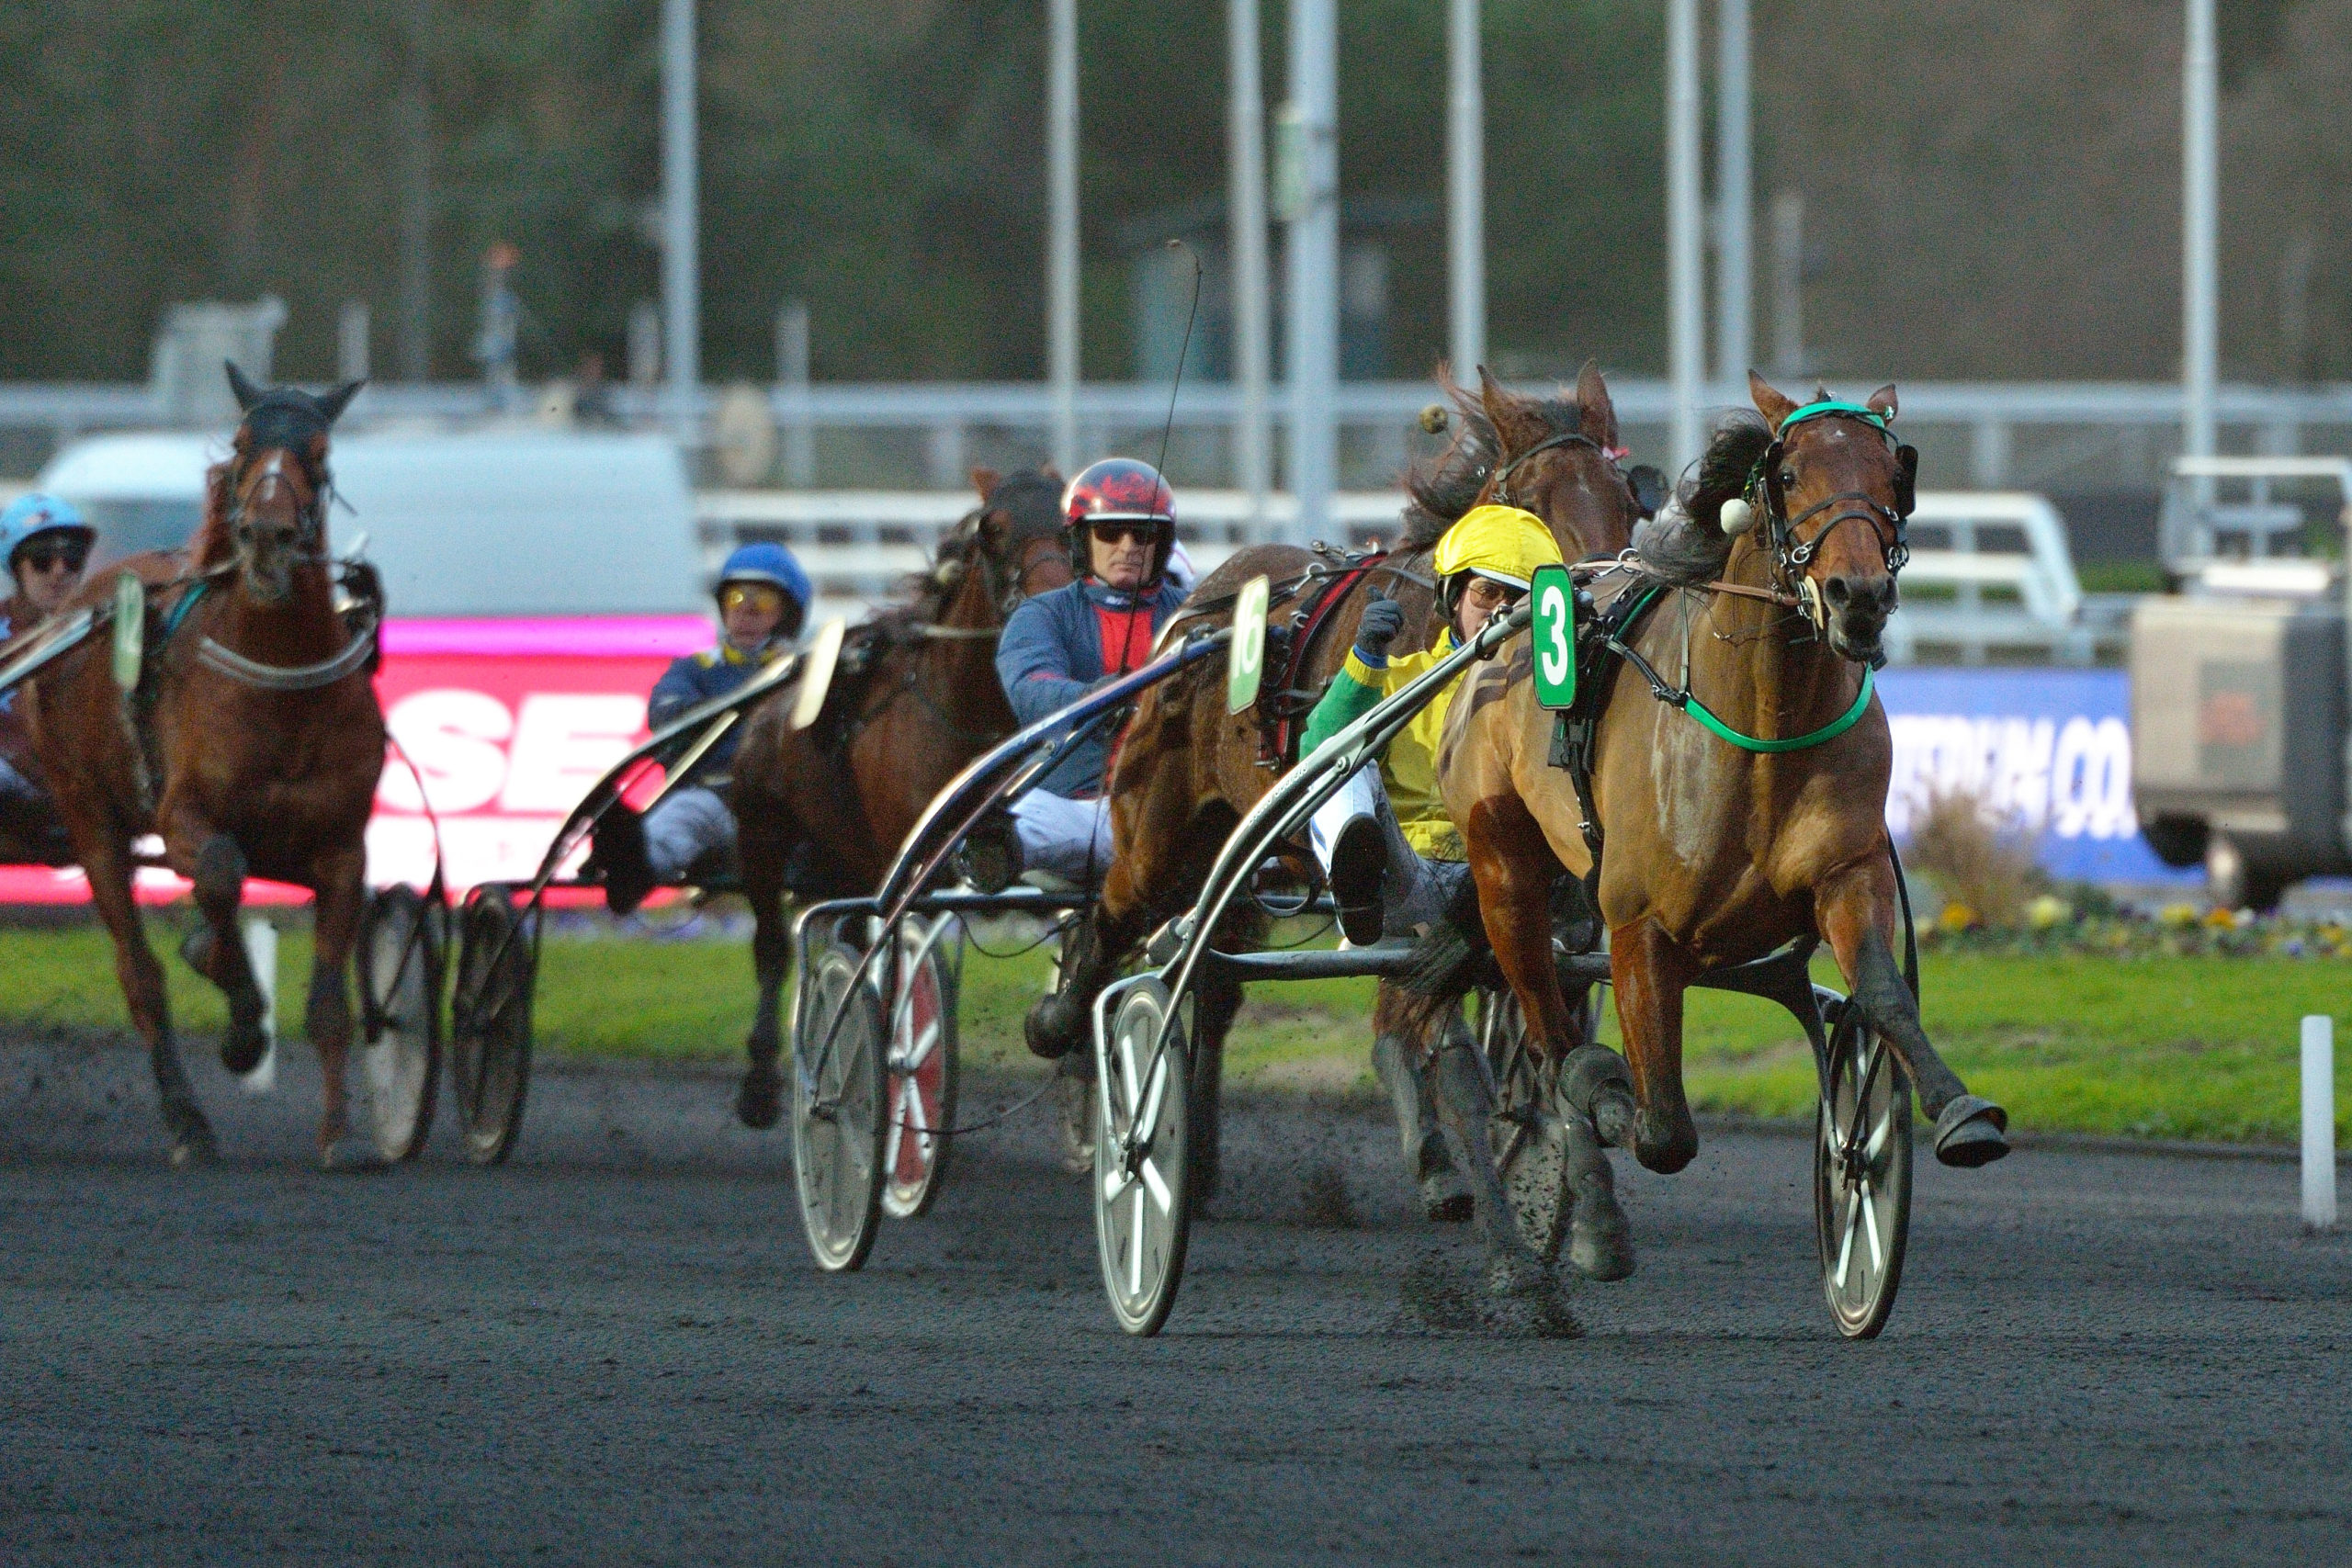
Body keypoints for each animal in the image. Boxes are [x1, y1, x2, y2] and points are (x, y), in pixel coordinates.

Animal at [20, 368, 379, 1166]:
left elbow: (330, 1000)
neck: (280, 681)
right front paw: (243, 1023)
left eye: (318, 453)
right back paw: (188, 1118)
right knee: (139, 974)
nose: (268, 535)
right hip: (88, 814)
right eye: (243, 443)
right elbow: (218, 869)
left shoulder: (341, 845)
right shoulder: (182, 812)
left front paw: (343, 1132)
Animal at [724, 465, 1077, 1128]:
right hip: (761, 836)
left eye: (1068, 519)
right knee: (772, 948)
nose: (1051, 592)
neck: (968, 718)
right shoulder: (913, 864)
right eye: (992, 529)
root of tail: (771, 704)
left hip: (843, 858)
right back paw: (761, 1081)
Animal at [1025, 362, 1656, 1213]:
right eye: (1534, 501)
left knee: (1213, 979)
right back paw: (1063, 1022)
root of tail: (1198, 613)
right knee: (1116, 914)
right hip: (1160, 829)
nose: (1604, 595)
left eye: (1626, 496)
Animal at [1420, 373, 2013, 1297]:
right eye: (1790, 473)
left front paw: (1949, 1116)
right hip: (1503, 868)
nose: (1859, 596)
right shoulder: (1638, 926)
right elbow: (1663, 1129)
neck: (1761, 725)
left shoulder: (1848, 871)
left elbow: (1883, 996)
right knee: (1547, 1029)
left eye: (1893, 472)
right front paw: (1611, 1099)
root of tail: (1501, 634)